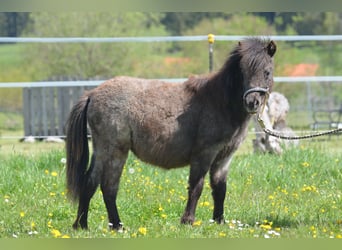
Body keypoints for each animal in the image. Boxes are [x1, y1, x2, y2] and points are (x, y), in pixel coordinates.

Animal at [65, 37, 276, 230]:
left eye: (267, 72)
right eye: (242, 72)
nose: (252, 102)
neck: (219, 102)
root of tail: (92, 94)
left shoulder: (224, 158)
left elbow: (219, 188)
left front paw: (219, 221)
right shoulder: (203, 154)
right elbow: (196, 187)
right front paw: (188, 221)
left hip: (102, 152)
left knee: (90, 183)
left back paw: (82, 225)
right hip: (115, 151)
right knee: (108, 186)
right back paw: (116, 226)